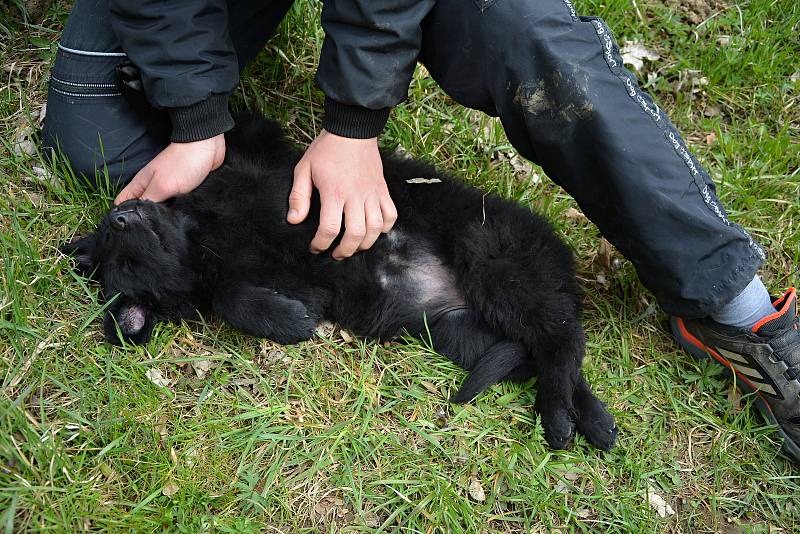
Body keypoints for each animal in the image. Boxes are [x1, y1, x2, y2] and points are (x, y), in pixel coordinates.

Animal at [65, 113, 620, 452]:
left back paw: (561, 416)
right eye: (126, 265)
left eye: (115, 236)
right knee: (546, 350)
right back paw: (583, 417)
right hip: (462, 331)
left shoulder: (260, 153)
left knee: (560, 339)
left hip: (495, 260)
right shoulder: (290, 282)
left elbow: (230, 131)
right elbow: (229, 297)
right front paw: (290, 321)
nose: (120, 216)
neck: (202, 238)